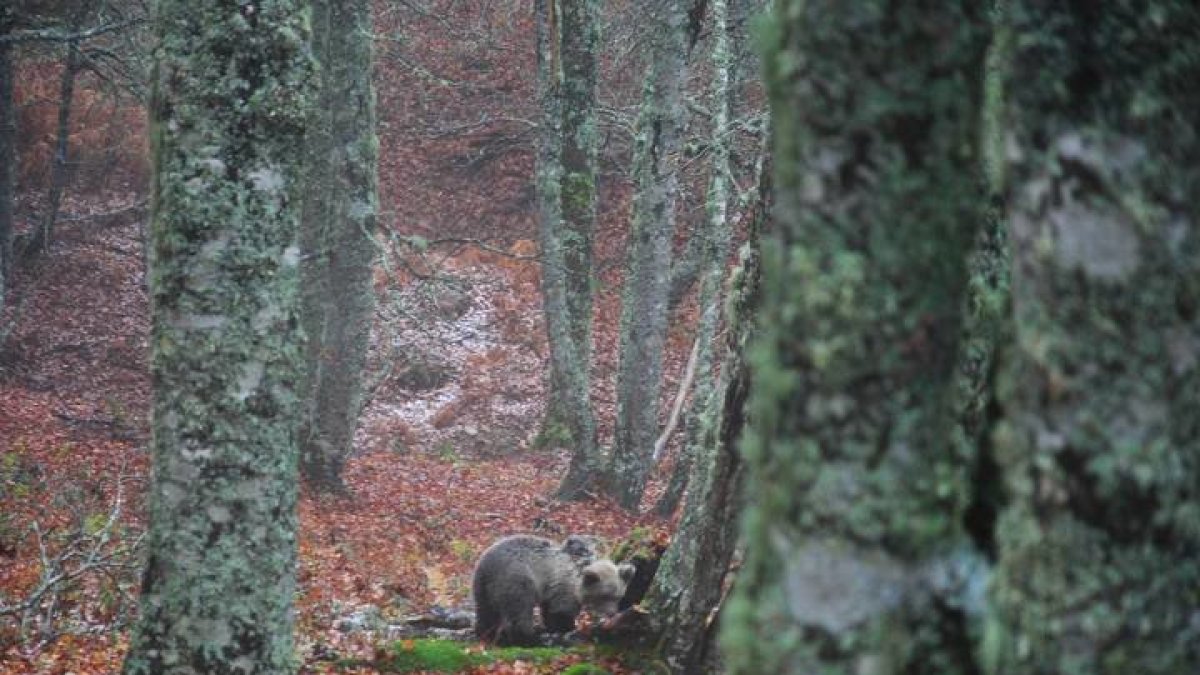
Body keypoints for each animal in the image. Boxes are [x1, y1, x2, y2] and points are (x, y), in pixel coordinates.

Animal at [470, 533, 638, 643]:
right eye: (604, 595)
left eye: (618, 596)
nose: (612, 612)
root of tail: (487, 566)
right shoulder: (564, 585)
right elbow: (561, 611)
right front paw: (567, 628)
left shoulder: (551, 588)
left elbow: (549, 609)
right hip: (518, 579)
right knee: (519, 610)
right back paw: (528, 637)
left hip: (483, 585)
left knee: (486, 610)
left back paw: (486, 633)